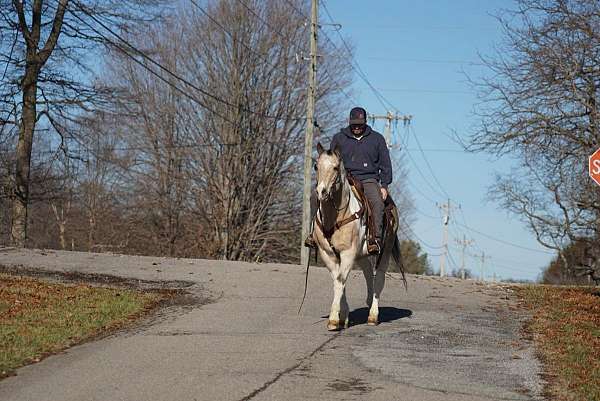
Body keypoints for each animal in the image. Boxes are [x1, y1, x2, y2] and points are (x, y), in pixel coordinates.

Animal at [312, 142, 406, 330]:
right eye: (316, 166)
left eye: (335, 167)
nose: (321, 192)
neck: (335, 217)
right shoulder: (328, 254)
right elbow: (338, 281)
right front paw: (343, 316)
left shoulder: (347, 253)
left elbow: (341, 280)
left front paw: (333, 320)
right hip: (362, 254)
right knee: (369, 273)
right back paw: (368, 302)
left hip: (385, 251)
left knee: (379, 278)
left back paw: (373, 315)